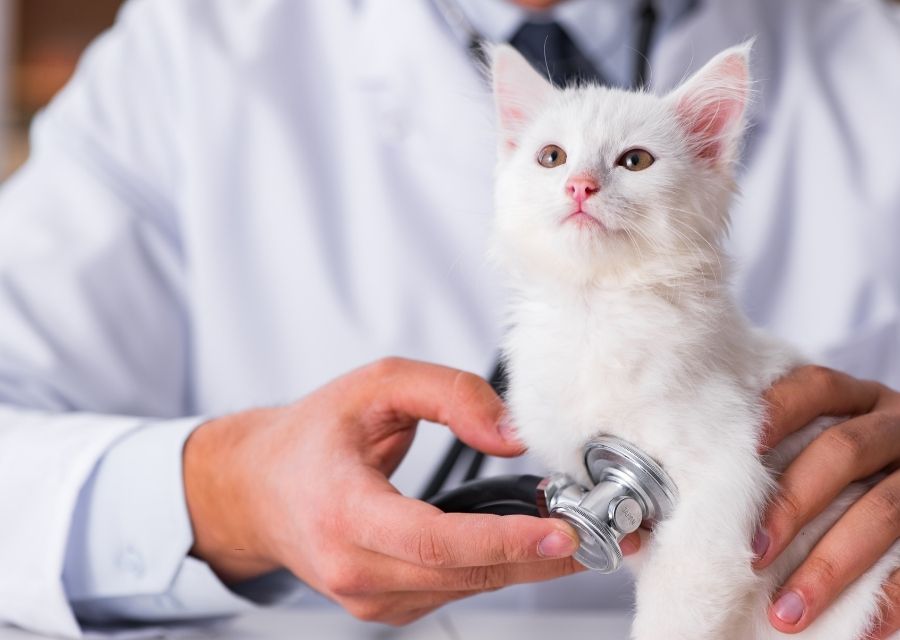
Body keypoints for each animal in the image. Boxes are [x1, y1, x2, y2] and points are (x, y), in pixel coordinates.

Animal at [492, 42, 900, 636]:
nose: (579, 186)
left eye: (635, 162)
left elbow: (679, 606)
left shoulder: (720, 482)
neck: (597, 312)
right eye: (552, 157)